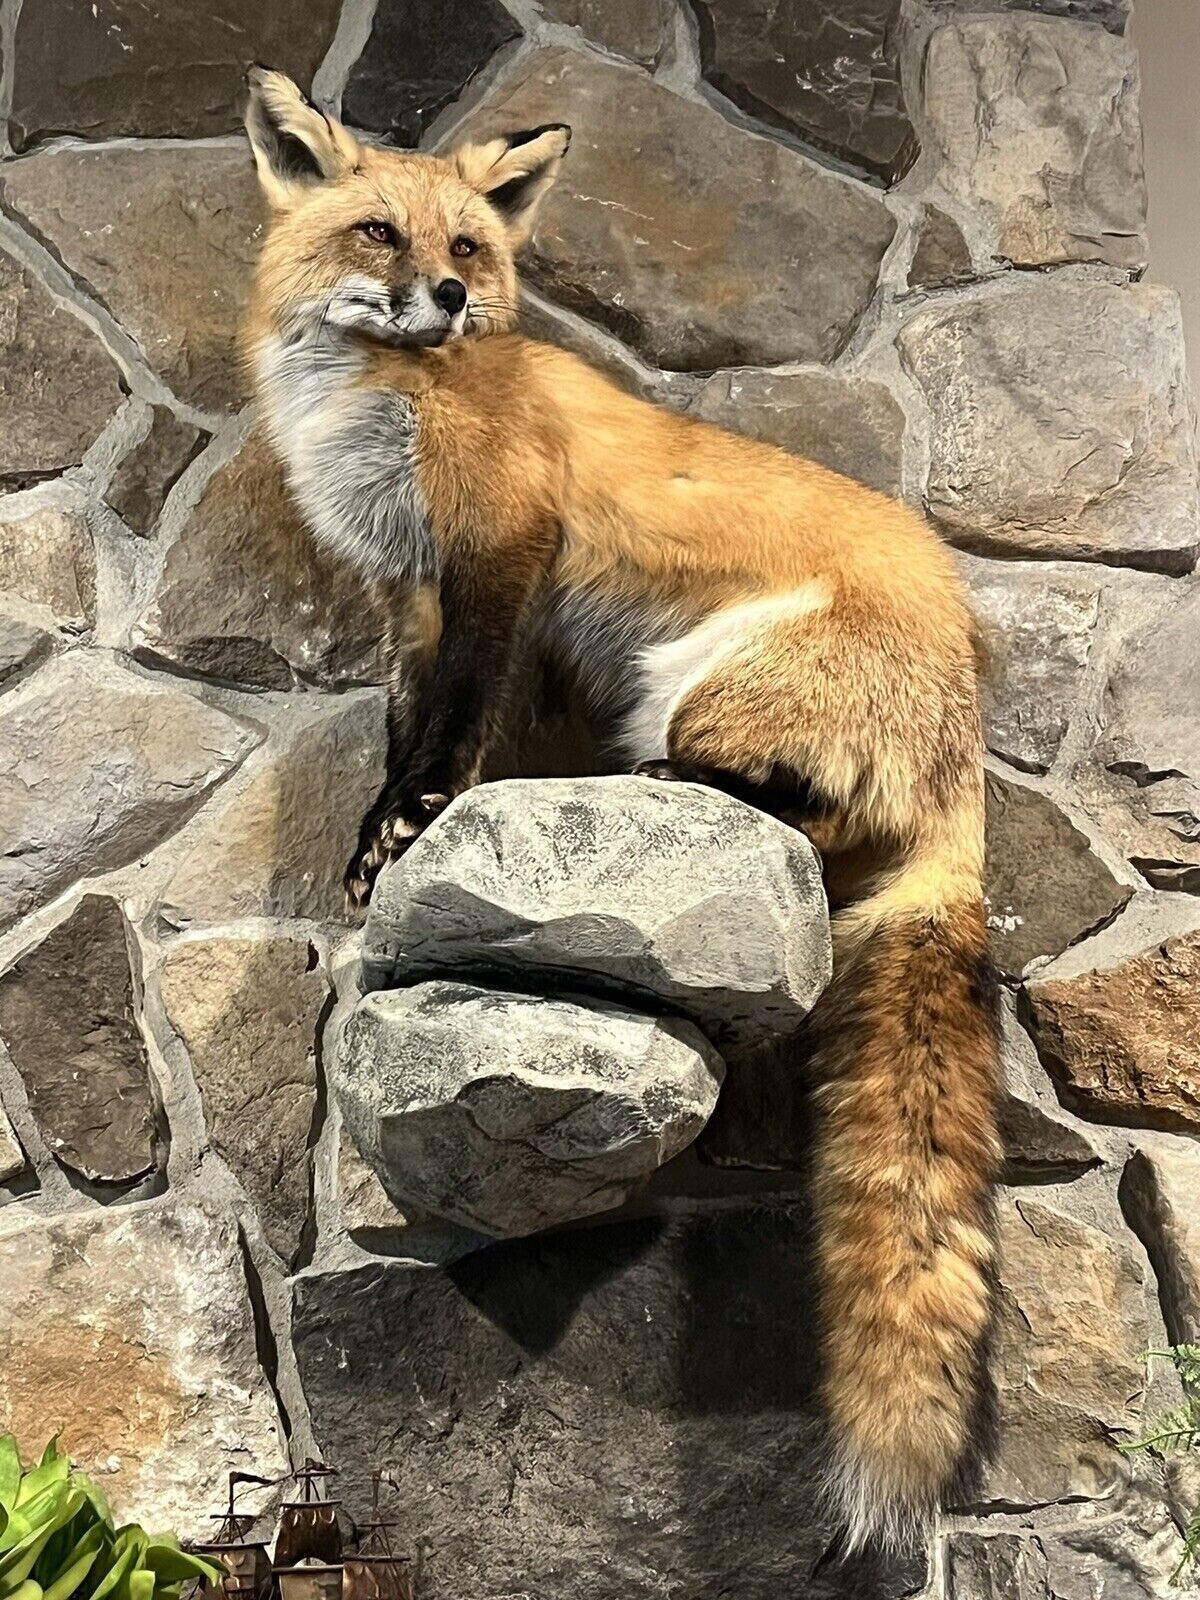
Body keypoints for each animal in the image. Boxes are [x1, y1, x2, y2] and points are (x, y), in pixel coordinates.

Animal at [241, 67, 1001, 1554]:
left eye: (465, 247)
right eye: (376, 233)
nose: (446, 299)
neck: (378, 400)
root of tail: (967, 714)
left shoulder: (501, 550)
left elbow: (455, 731)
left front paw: (419, 823)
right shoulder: (412, 595)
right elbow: (410, 724)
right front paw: (373, 847)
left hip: (691, 693)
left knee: (803, 827)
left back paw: (665, 791)